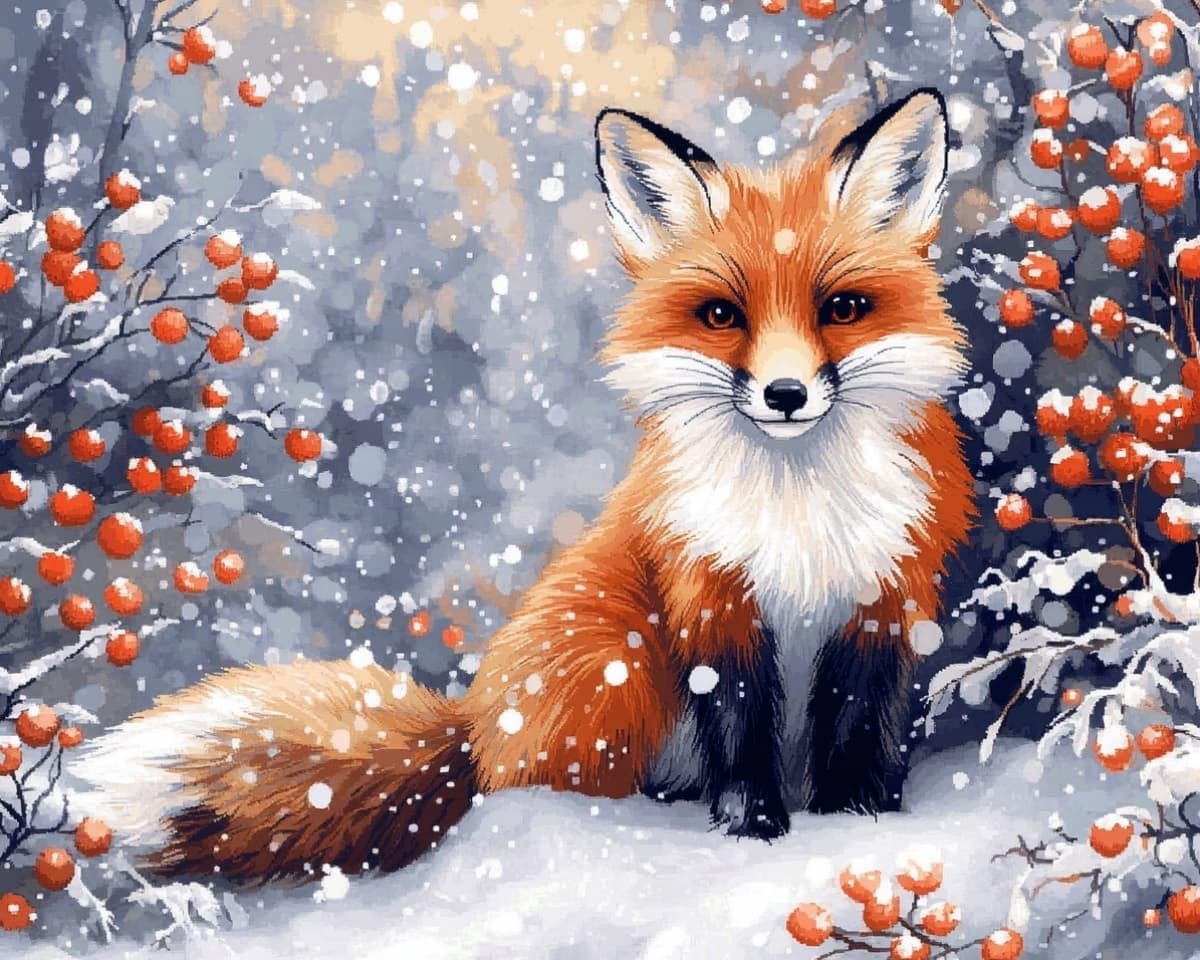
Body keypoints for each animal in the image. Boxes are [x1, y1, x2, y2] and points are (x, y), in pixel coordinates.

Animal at [75, 89, 975, 882]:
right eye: (722, 315)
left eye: (843, 307)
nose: (785, 394)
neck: (798, 509)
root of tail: (473, 733)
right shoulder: (709, 593)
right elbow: (741, 728)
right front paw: (752, 828)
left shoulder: (885, 597)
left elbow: (858, 727)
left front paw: (854, 822)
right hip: (620, 656)